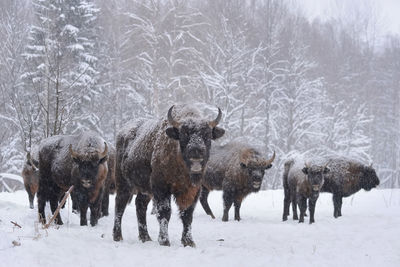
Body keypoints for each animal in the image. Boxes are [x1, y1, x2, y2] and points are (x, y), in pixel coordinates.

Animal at [112, 105, 225, 248]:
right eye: (184, 134)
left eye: (207, 135)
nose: (196, 151)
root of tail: (122, 132)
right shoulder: (161, 188)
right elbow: (165, 212)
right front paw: (164, 241)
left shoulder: (193, 190)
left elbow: (187, 214)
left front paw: (189, 241)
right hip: (123, 182)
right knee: (120, 204)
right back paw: (117, 236)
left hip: (145, 189)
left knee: (140, 205)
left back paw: (145, 237)